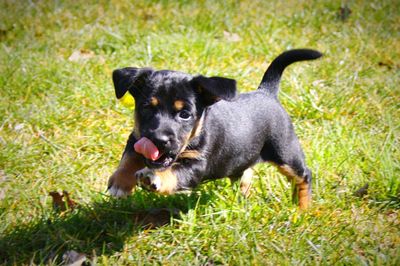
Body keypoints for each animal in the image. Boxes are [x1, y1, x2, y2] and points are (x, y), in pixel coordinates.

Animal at [108, 48, 324, 209]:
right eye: (146, 107)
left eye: (185, 114)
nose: (159, 140)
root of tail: (267, 92)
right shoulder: (136, 137)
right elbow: (128, 158)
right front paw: (120, 183)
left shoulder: (197, 164)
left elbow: (173, 172)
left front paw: (153, 177)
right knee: (246, 171)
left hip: (285, 151)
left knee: (304, 175)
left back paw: (302, 210)